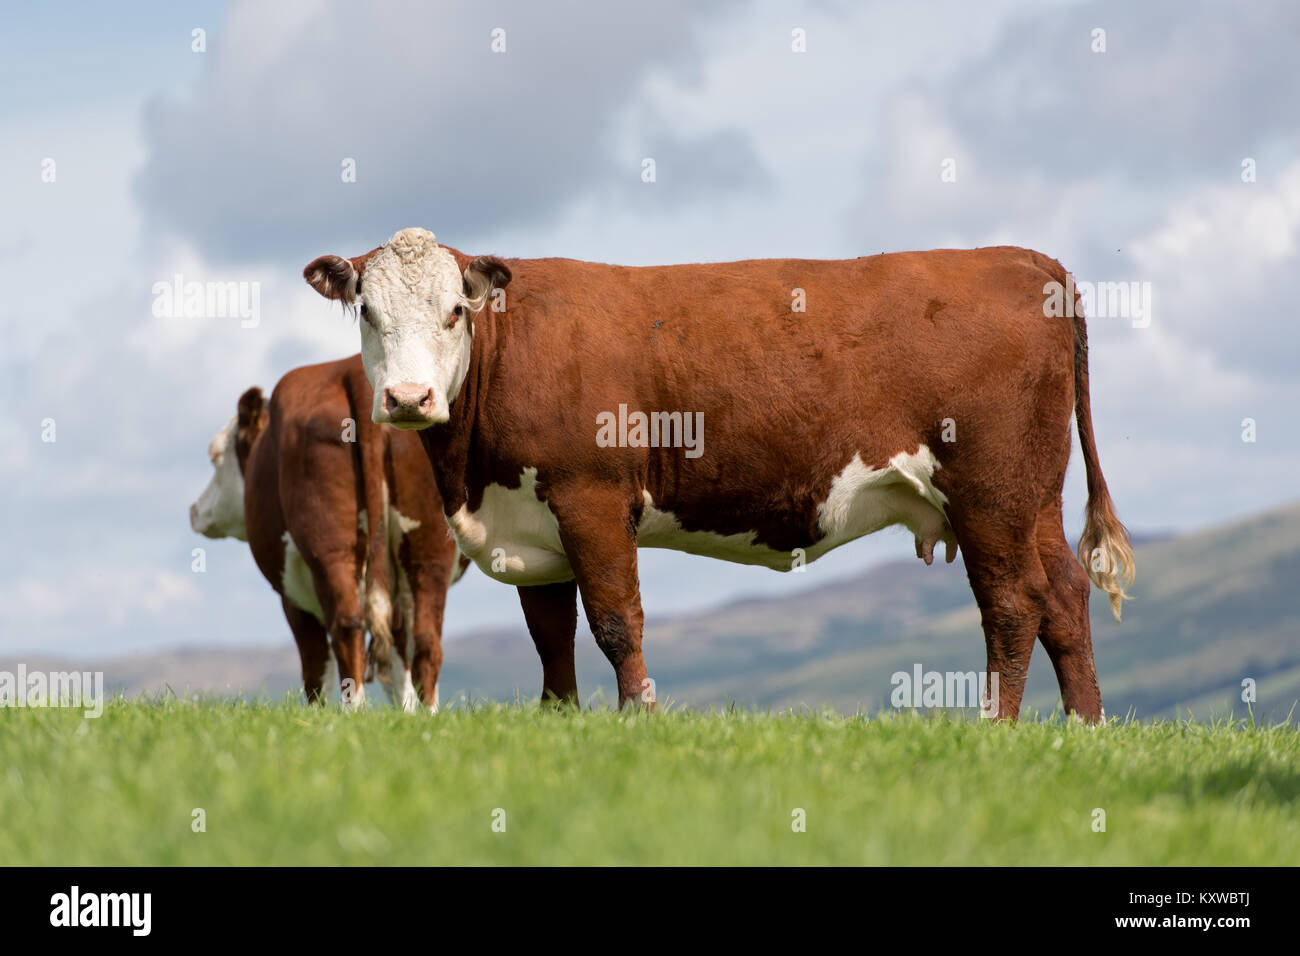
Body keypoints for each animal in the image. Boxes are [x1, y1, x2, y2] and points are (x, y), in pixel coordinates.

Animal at [190, 354, 467, 711]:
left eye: (215, 457)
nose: (195, 510)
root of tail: (357, 374)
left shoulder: (293, 595)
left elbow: (316, 668)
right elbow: (397, 666)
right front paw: (405, 716)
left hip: (329, 550)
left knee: (347, 627)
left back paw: (353, 713)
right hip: (428, 552)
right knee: (426, 640)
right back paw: (429, 716)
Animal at [303, 227, 1134, 723]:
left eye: (453, 311)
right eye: (368, 313)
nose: (409, 399)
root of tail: (1022, 257)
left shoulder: (591, 498)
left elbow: (615, 621)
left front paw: (636, 720)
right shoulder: (532, 523)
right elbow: (551, 636)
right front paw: (560, 721)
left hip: (990, 490)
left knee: (1012, 602)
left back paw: (997, 728)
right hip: (1033, 495)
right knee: (1063, 595)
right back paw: (1083, 727)